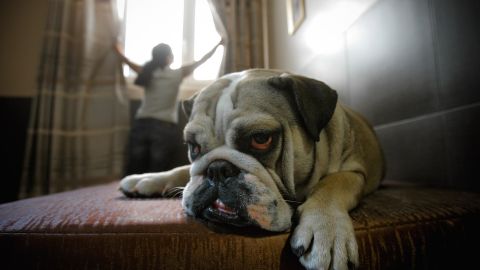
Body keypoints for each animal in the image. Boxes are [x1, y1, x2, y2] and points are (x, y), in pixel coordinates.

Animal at [120, 69, 386, 270]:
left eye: (260, 139)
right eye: (193, 146)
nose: (217, 169)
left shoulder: (354, 173)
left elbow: (332, 184)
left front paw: (327, 230)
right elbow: (184, 170)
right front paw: (147, 179)